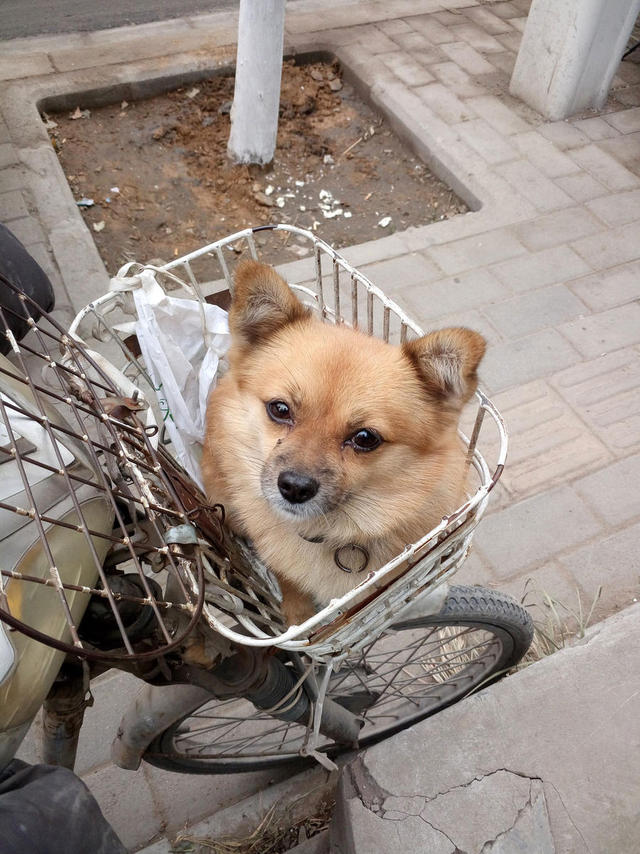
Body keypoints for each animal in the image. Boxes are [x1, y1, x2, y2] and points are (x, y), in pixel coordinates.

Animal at [202, 258, 488, 624]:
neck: (330, 533)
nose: (294, 487)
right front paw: (297, 612)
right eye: (279, 409)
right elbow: (288, 581)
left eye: (365, 438)